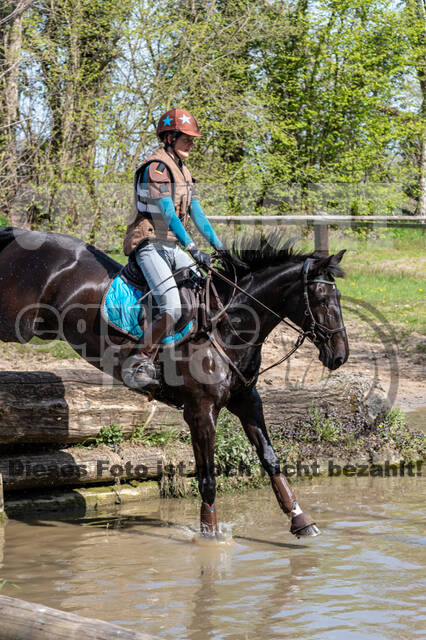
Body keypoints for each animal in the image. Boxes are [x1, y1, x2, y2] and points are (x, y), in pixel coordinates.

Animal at [0, 228, 350, 536]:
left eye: (338, 296)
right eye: (321, 298)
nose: (340, 356)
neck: (229, 325)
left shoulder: (246, 400)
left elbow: (271, 459)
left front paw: (300, 520)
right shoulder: (201, 410)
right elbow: (207, 478)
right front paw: (210, 538)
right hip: (17, 322)